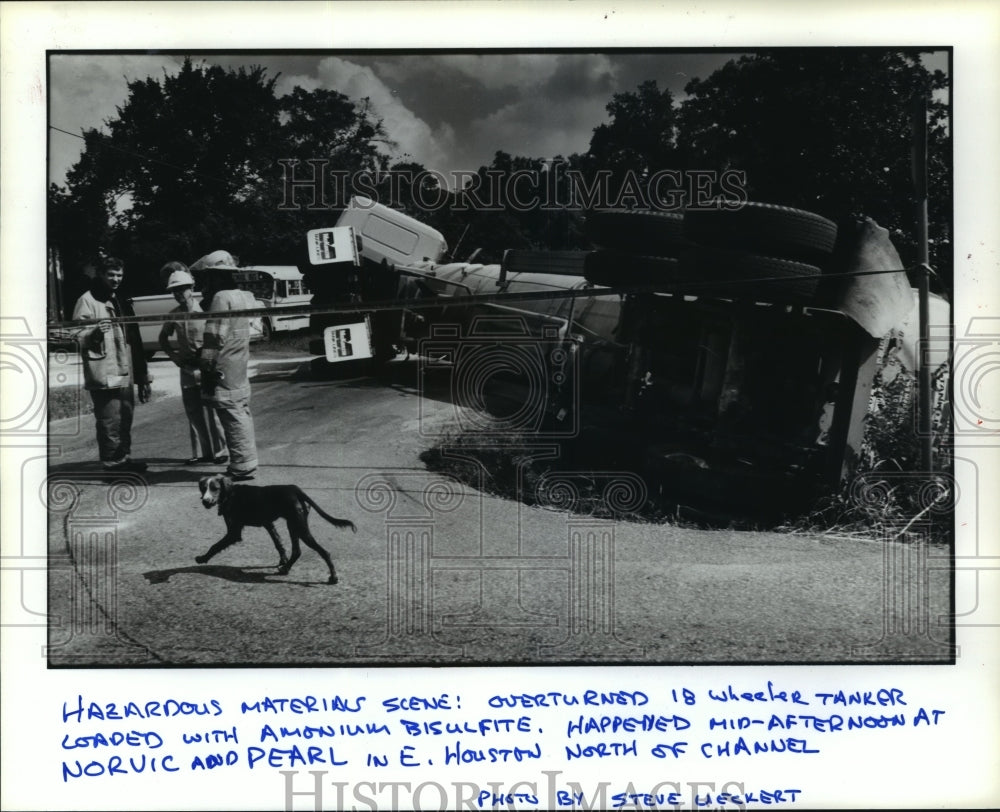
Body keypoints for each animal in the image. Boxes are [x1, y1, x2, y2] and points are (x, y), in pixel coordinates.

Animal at [195, 476, 356, 584]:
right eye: (203, 488)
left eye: (215, 488)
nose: (205, 501)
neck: (230, 494)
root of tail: (294, 488)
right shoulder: (268, 524)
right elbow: (278, 543)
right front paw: (282, 559)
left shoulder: (234, 532)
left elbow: (215, 546)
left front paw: (202, 558)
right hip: (294, 525)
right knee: (297, 551)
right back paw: (285, 569)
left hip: (299, 527)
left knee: (324, 552)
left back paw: (333, 577)